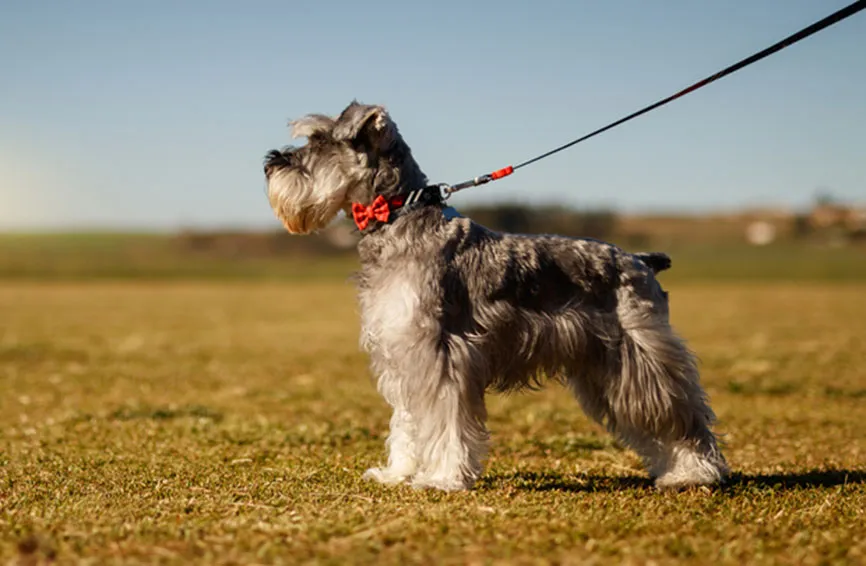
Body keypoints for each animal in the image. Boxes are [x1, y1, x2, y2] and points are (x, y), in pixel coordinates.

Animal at [264, 102, 724, 492]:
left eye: (319, 141)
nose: (270, 161)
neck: (398, 217)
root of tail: (641, 261)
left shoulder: (440, 355)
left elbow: (444, 423)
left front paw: (442, 478)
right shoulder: (403, 354)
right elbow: (408, 422)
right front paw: (398, 473)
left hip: (641, 363)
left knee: (686, 419)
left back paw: (695, 473)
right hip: (605, 370)